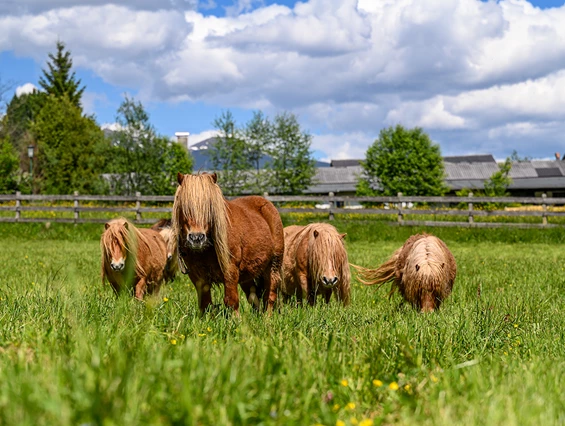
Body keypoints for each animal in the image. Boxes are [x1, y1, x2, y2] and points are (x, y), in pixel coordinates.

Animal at [170, 171, 284, 314]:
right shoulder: (197, 275)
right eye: (184, 207)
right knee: (253, 296)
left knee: (270, 295)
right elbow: (205, 304)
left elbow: (231, 300)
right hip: (247, 274)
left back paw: (267, 317)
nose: (196, 238)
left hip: (273, 265)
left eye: (210, 207)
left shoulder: (230, 270)